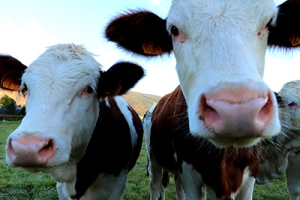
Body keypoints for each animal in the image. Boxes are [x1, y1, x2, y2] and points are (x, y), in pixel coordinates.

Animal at [104, 0, 300, 199]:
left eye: (268, 24)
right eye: (174, 30)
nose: (238, 112)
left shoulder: (250, 174)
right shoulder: (189, 173)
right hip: (154, 158)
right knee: (156, 184)